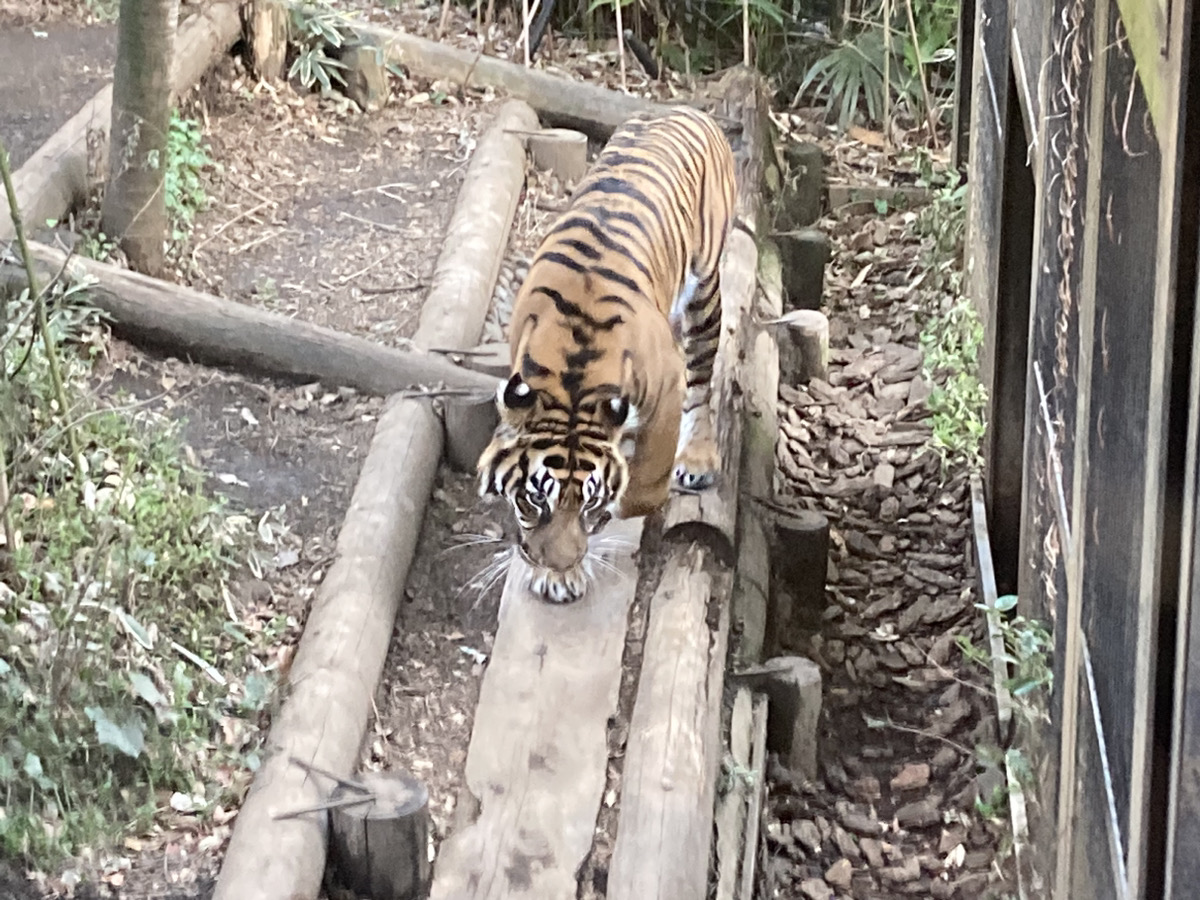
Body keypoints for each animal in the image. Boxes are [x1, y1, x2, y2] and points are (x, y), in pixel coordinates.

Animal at [472, 107, 734, 607]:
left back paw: (696, 459)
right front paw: (555, 577)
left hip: (705, 290)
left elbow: (645, 485)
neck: (572, 378)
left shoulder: (665, 388)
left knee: (701, 380)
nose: (559, 564)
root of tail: (685, 108)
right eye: (535, 500)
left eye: (589, 504)